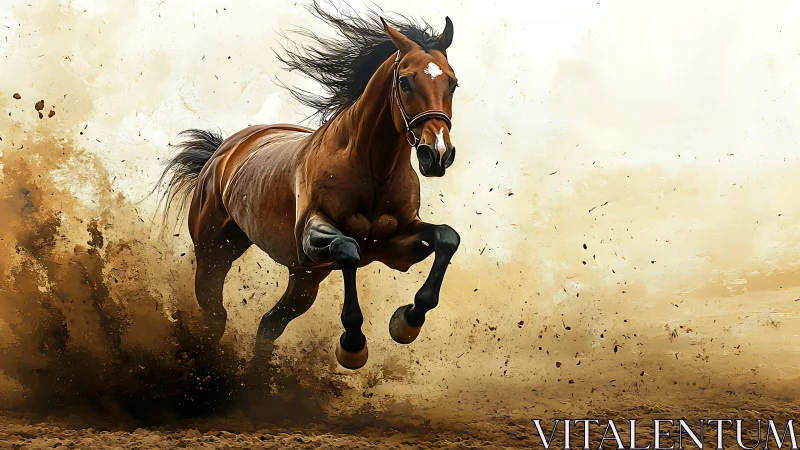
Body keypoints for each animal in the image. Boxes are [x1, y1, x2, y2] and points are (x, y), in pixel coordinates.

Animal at [156, 3, 461, 370]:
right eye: (404, 82)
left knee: (268, 324)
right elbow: (347, 248)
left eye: (453, 83)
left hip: (304, 280)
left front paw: (407, 321)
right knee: (215, 317)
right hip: (214, 253)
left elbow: (447, 237)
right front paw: (353, 345)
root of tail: (223, 152)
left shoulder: (395, 243)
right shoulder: (310, 236)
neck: (374, 172)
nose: (438, 154)